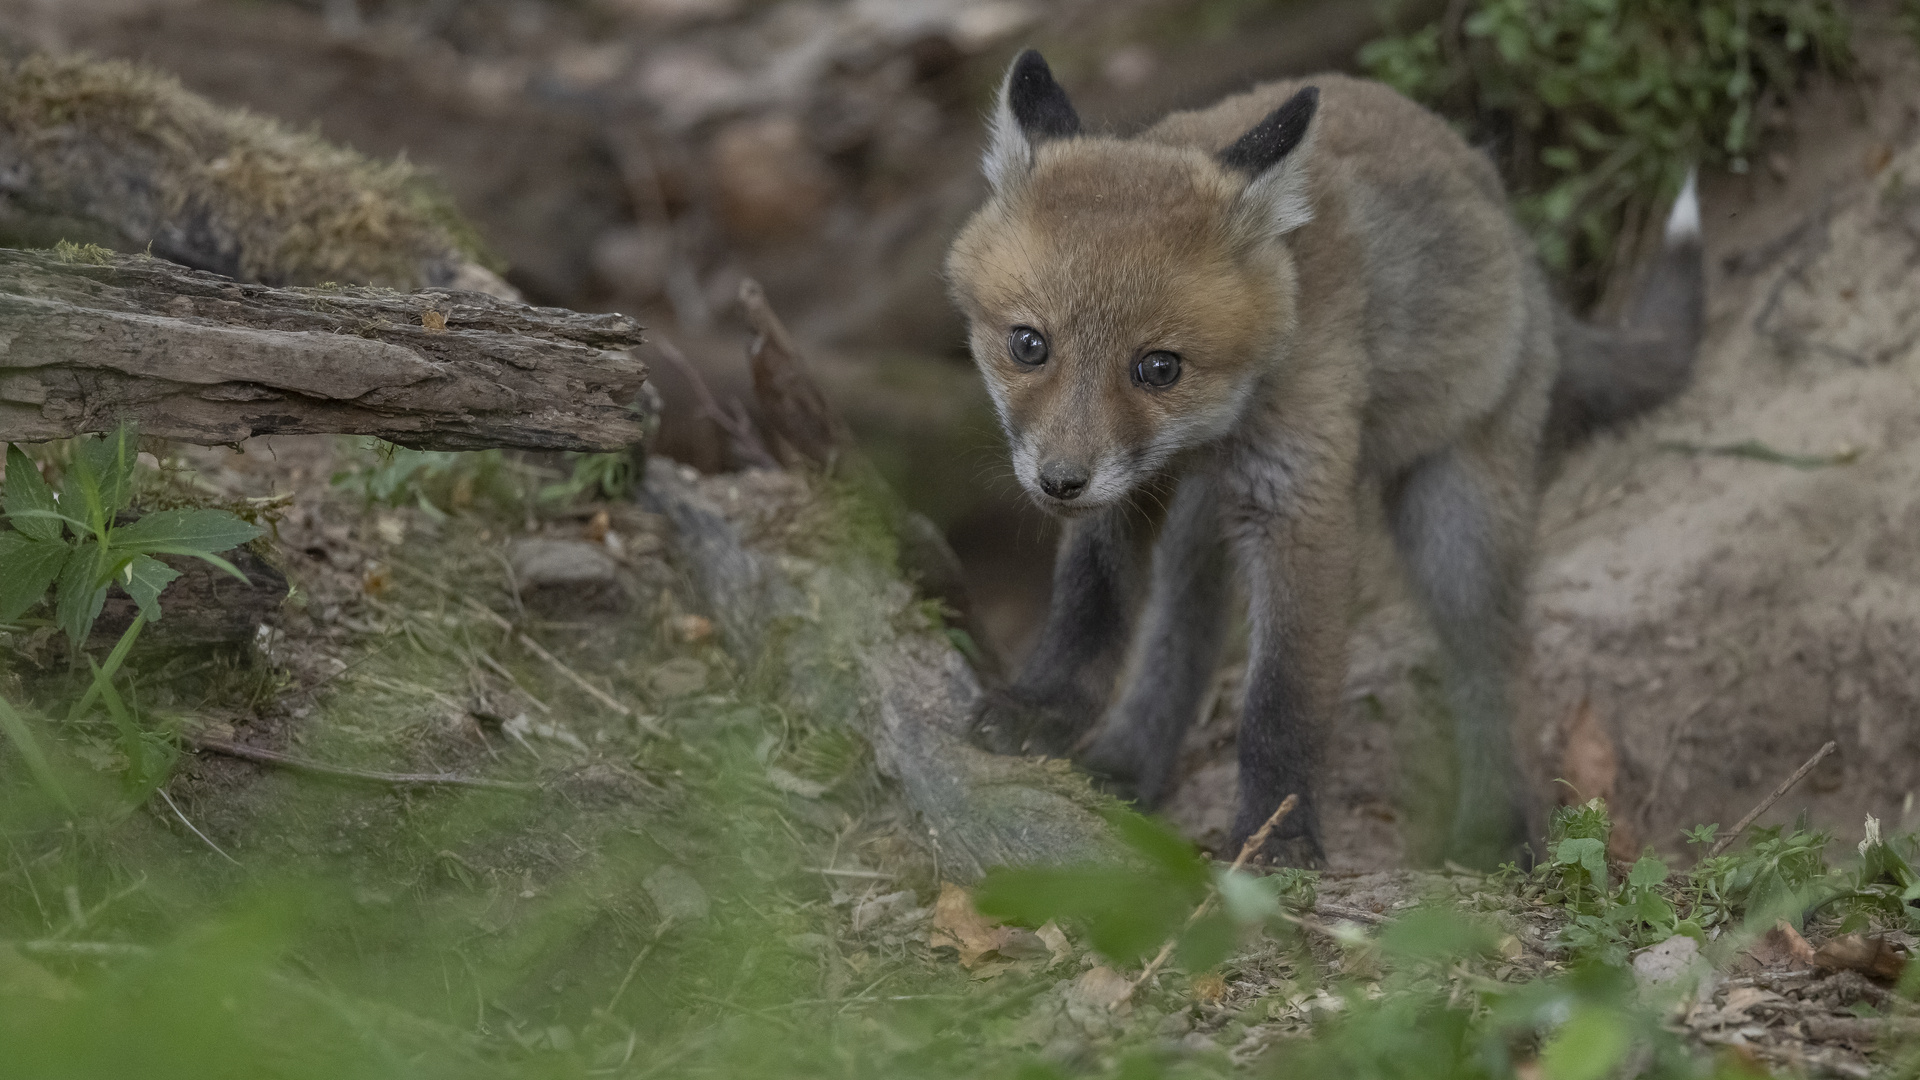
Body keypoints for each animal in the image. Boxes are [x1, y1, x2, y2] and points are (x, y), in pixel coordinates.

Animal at [936, 50, 1704, 860]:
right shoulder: (1131, 490)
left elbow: (1282, 699)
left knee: (1492, 664)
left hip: (1455, 517)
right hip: (1199, 524)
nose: (1060, 483)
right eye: (1029, 345)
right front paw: (1043, 709)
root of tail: (1518, 239)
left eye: (1159, 367)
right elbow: (1090, 608)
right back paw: (1126, 763)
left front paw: (1276, 834)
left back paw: (1494, 826)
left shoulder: (1300, 499)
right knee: (1182, 633)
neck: (1217, 428)